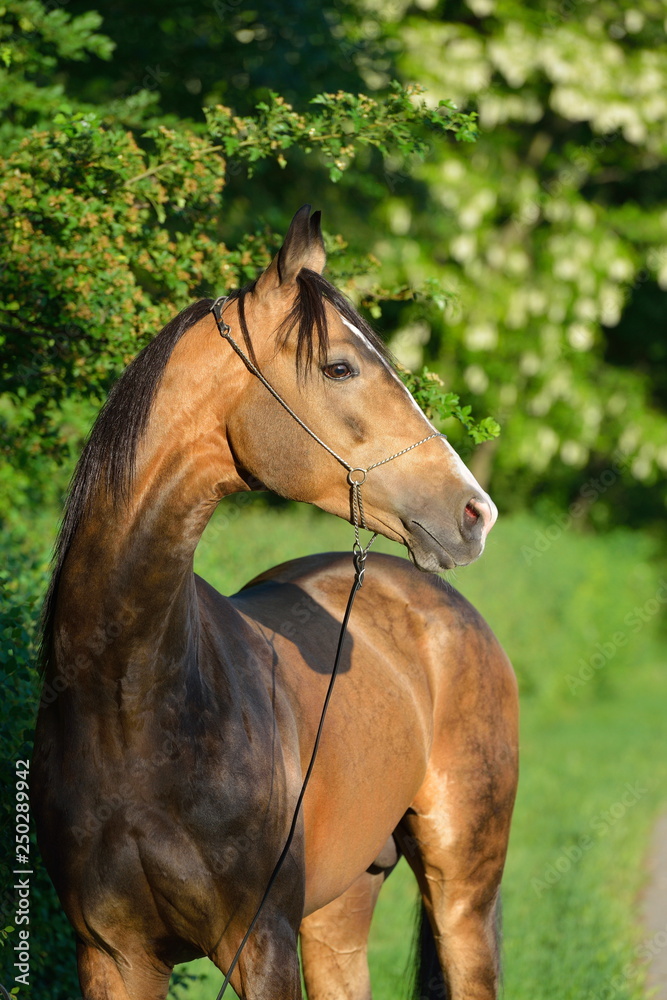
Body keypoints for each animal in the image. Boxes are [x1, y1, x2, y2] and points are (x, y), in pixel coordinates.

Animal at [32, 205, 518, 1000]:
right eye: (340, 366)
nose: (476, 513)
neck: (131, 701)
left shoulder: (259, 943)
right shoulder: (111, 955)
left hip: (463, 894)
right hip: (340, 911)